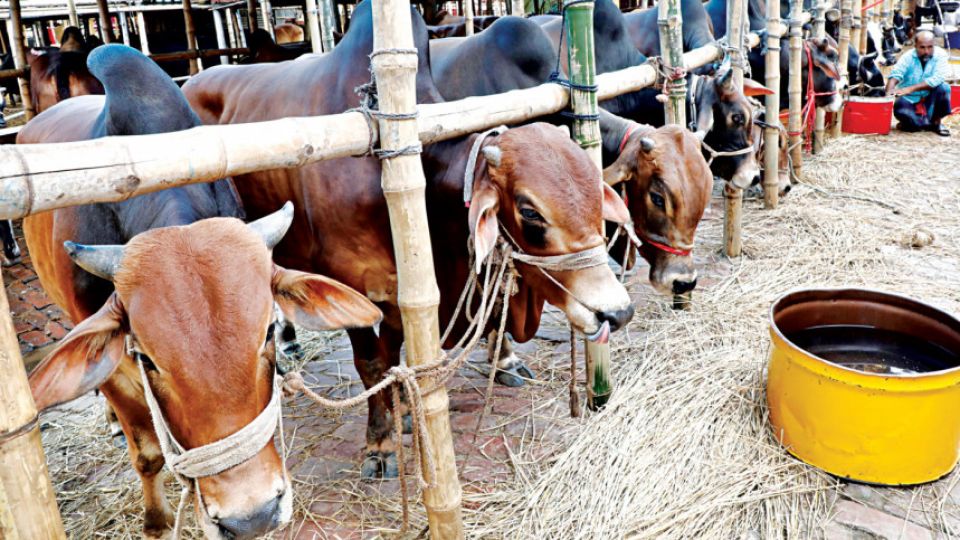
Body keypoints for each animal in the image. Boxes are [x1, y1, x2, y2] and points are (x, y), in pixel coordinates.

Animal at [18, 46, 378, 540]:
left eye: (269, 332)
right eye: (147, 358)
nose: (252, 516)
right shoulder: (115, 370)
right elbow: (148, 454)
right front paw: (156, 521)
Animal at [186, 2, 636, 478]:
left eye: (595, 194)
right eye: (530, 212)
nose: (617, 312)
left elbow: (398, 354)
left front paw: (403, 412)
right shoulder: (356, 291)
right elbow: (372, 364)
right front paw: (380, 443)